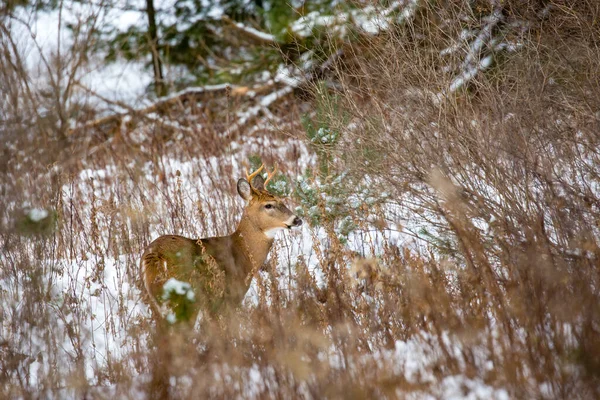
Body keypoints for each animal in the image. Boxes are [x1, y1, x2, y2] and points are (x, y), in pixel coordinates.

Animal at [139, 164, 300, 324]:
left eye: (281, 200)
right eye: (268, 205)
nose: (297, 219)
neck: (242, 253)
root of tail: (155, 256)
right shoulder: (227, 299)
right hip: (188, 296)